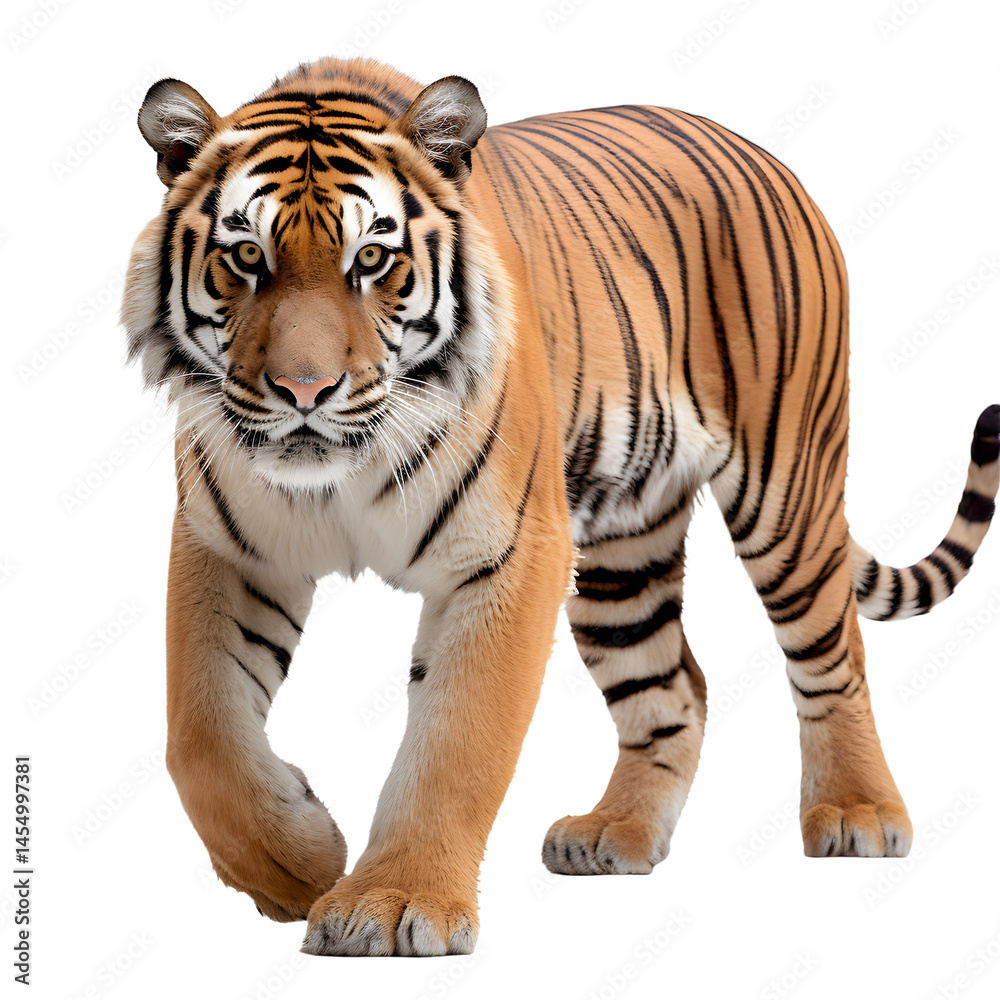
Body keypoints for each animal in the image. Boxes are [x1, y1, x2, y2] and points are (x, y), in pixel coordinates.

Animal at [121, 56, 999, 957]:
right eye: (245, 257)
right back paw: (617, 834)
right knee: (675, 687)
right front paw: (298, 865)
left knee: (834, 655)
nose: (305, 391)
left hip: (785, 492)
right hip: (622, 554)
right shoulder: (226, 549)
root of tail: (763, 154)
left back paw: (859, 814)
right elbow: (200, 736)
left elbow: (459, 736)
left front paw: (395, 903)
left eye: (371, 259)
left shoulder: (508, 554)